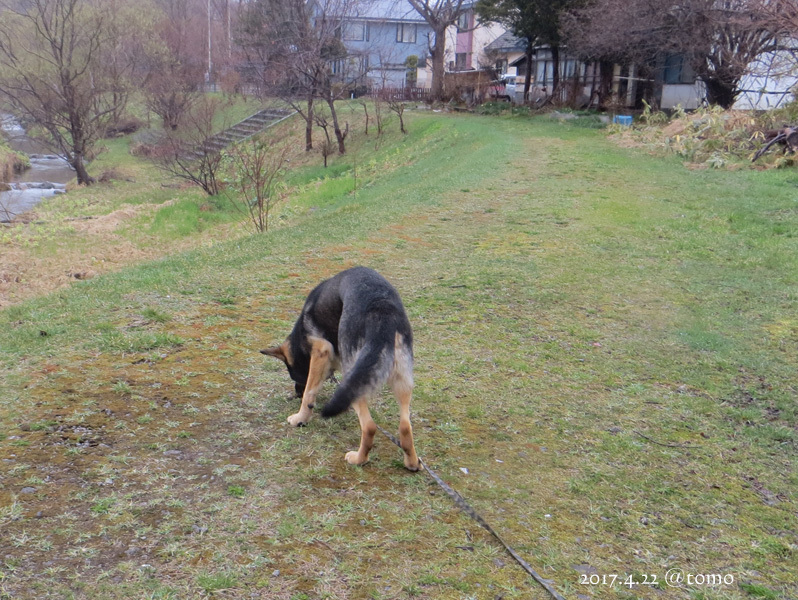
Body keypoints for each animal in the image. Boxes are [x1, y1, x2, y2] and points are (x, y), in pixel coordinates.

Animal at [264, 264, 424, 472]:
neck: (301, 338)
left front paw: (300, 418)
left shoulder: (320, 351)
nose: (296, 393)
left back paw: (358, 459)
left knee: (369, 426)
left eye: (295, 376)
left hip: (355, 372)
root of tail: (382, 313)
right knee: (405, 426)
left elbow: (310, 392)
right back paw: (412, 462)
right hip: (402, 379)